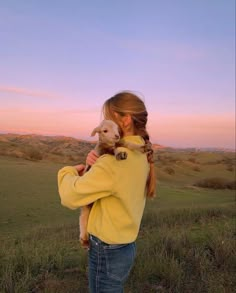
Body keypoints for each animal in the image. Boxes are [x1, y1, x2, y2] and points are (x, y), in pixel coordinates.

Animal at [79, 118, 146, 246]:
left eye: (116, 128)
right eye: (104, 130)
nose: (117, 135)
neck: (109, 143)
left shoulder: (120, 143)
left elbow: (127, 144)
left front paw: (141, 147)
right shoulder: (104, 150)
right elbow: (113, 150)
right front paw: (120, 154)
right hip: (85, 206)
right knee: (83, 218)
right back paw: (84, 240)